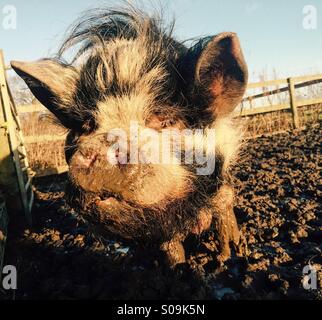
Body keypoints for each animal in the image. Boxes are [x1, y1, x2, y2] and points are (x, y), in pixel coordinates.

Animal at [10, 7, 247, 268]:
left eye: (165, 119)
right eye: (87, 125)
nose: (101, 145)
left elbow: (223, 208)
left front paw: (228, 257)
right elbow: (171, 247)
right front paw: (177, 269)